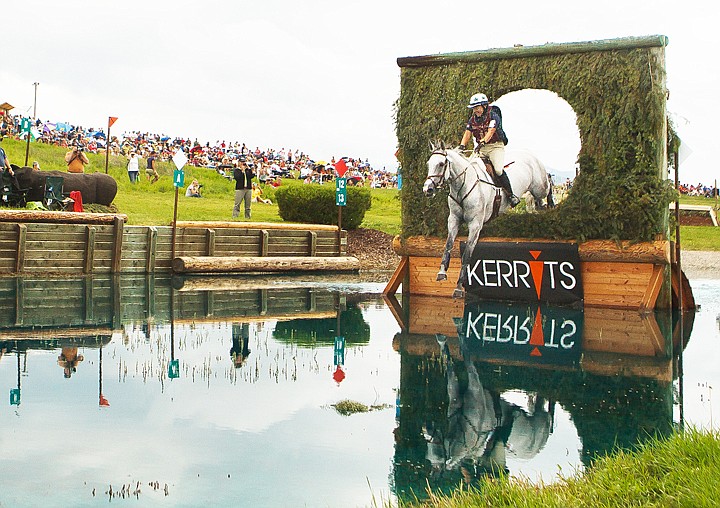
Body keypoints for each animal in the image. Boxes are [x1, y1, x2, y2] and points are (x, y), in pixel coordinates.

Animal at [422, 144, 552, 298]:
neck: (463, 185)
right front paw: (442, 272)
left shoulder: (475, 225)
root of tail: (530, 155)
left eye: (441, 164)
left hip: (539, 187)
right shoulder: (453, 220)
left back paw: (548, 204)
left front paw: (459, 287)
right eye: (428, 164)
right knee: (537, 203)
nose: (427, 189)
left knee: (547, 188)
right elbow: (448, 245)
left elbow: (466, 255)